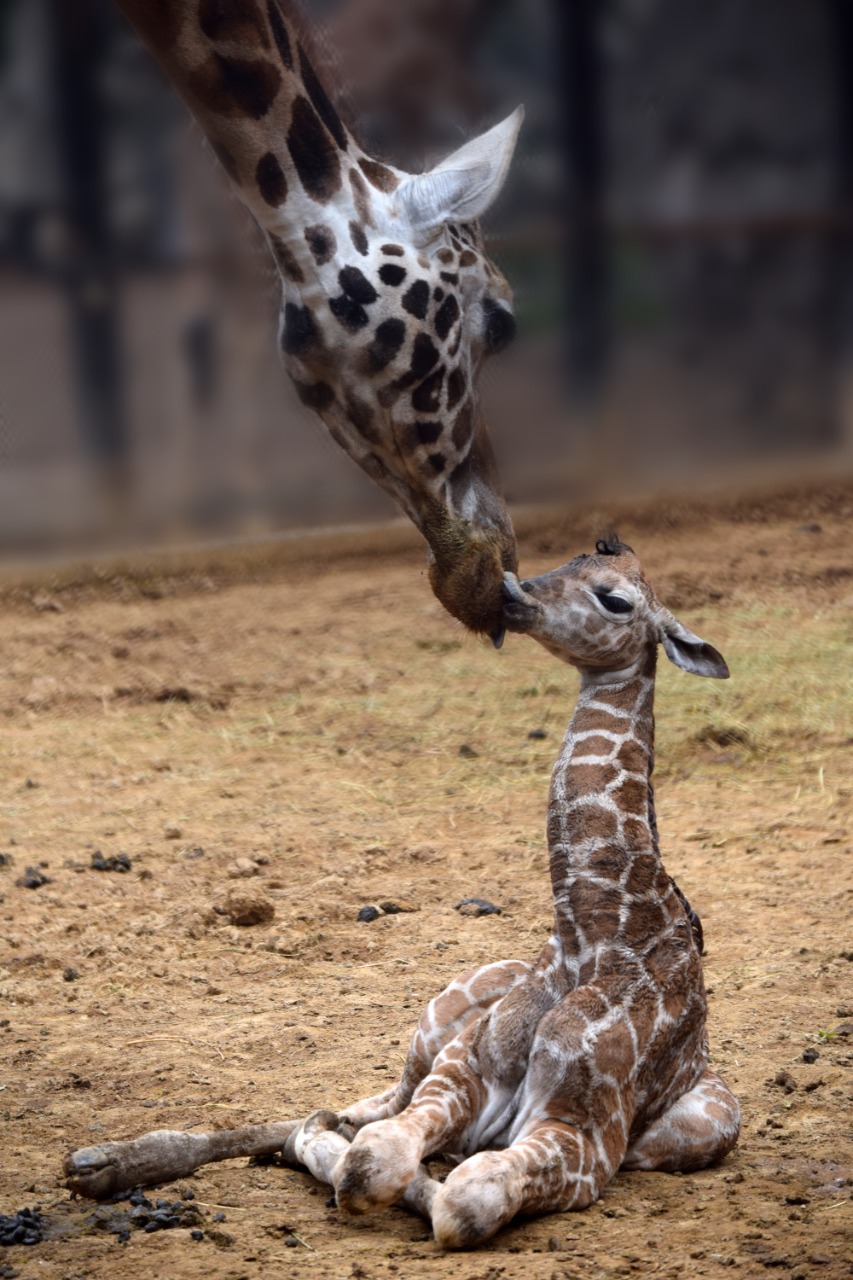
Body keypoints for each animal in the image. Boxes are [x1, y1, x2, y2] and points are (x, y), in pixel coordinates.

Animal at [64, 537, 741, 1246]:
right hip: (432, 1023)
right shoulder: (464, 1070)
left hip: (697, 1125)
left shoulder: (584, 1134)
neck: (595, 926)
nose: (511, 593)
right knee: (351, 1108)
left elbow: (452, 1197)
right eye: (561, 563)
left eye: (615, 599)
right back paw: (101, 1162)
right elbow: (374, 1155)